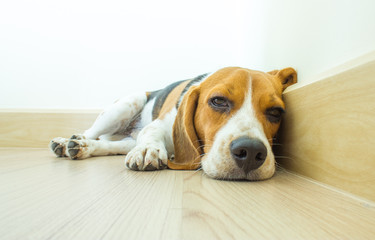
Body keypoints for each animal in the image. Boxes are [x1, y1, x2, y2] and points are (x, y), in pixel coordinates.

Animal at [50, 67, 298, 180]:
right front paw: (148, 150)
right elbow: (150, 133)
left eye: (276, 112)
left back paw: (82, 147)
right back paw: (67, 142)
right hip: (127, 104)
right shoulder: (160, 124)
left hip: (125, 137)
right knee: (91, 132)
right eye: (218, 101)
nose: (251, 151)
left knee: (110, 144)